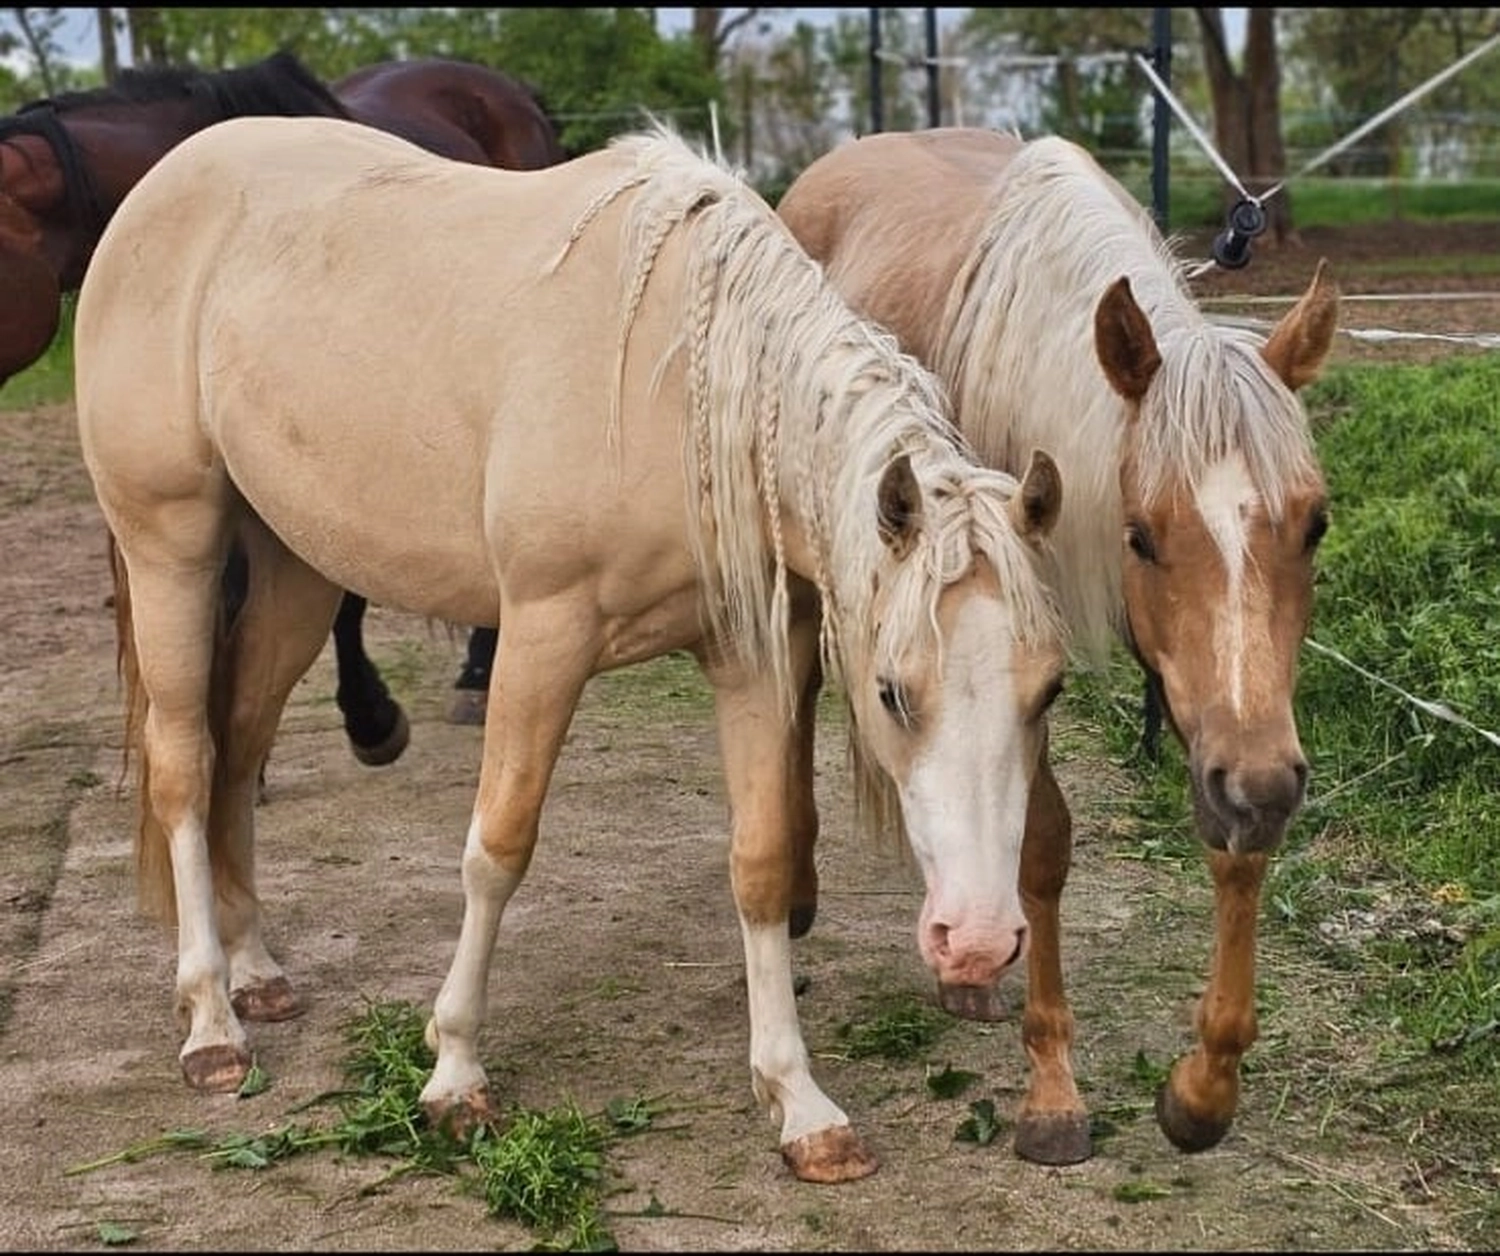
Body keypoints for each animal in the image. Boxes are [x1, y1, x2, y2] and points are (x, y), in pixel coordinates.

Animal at [74, 116, 1073, 1183]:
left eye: (1049, 691)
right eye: (889, 691)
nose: (978, 942)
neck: (688, 390)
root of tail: (165, 180)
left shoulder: (753, 660)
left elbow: (762, 863)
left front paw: (802, 1106)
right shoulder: (541, 638)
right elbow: (497, 848)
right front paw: (454, 1073)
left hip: (295, 574)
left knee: (238, 750)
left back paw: (257, 972)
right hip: (171, 550)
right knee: (186, 765)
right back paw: (212, 1024)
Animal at [777, 127, 1337, 1162]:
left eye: (1315, 525)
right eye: (1142, 534)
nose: (1264, 788)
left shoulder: (1223, 716)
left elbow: (1232, 848)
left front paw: (1204, 1088)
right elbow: (1040, 845)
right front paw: (1052, 1094)